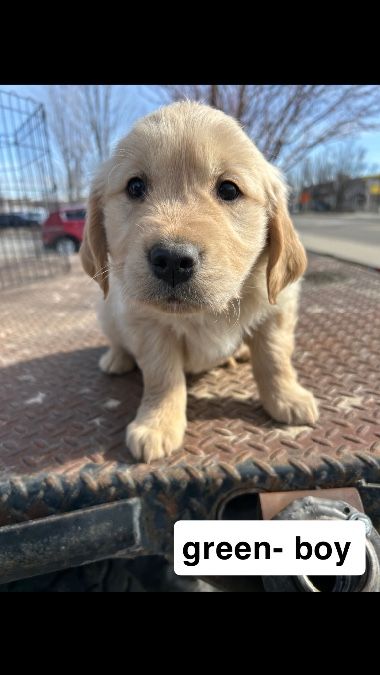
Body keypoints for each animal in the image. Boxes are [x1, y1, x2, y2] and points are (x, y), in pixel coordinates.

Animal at [80, 101, 318, 464]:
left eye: (229, 189)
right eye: (135, 187)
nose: (172, 260)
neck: (205, 312)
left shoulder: (278, 309)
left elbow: (276, 358)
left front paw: (287, 398)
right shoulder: (146, 325)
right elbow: (163, 377)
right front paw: (157, 424)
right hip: (106, 311)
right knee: (118, 340)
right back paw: (116, 359)